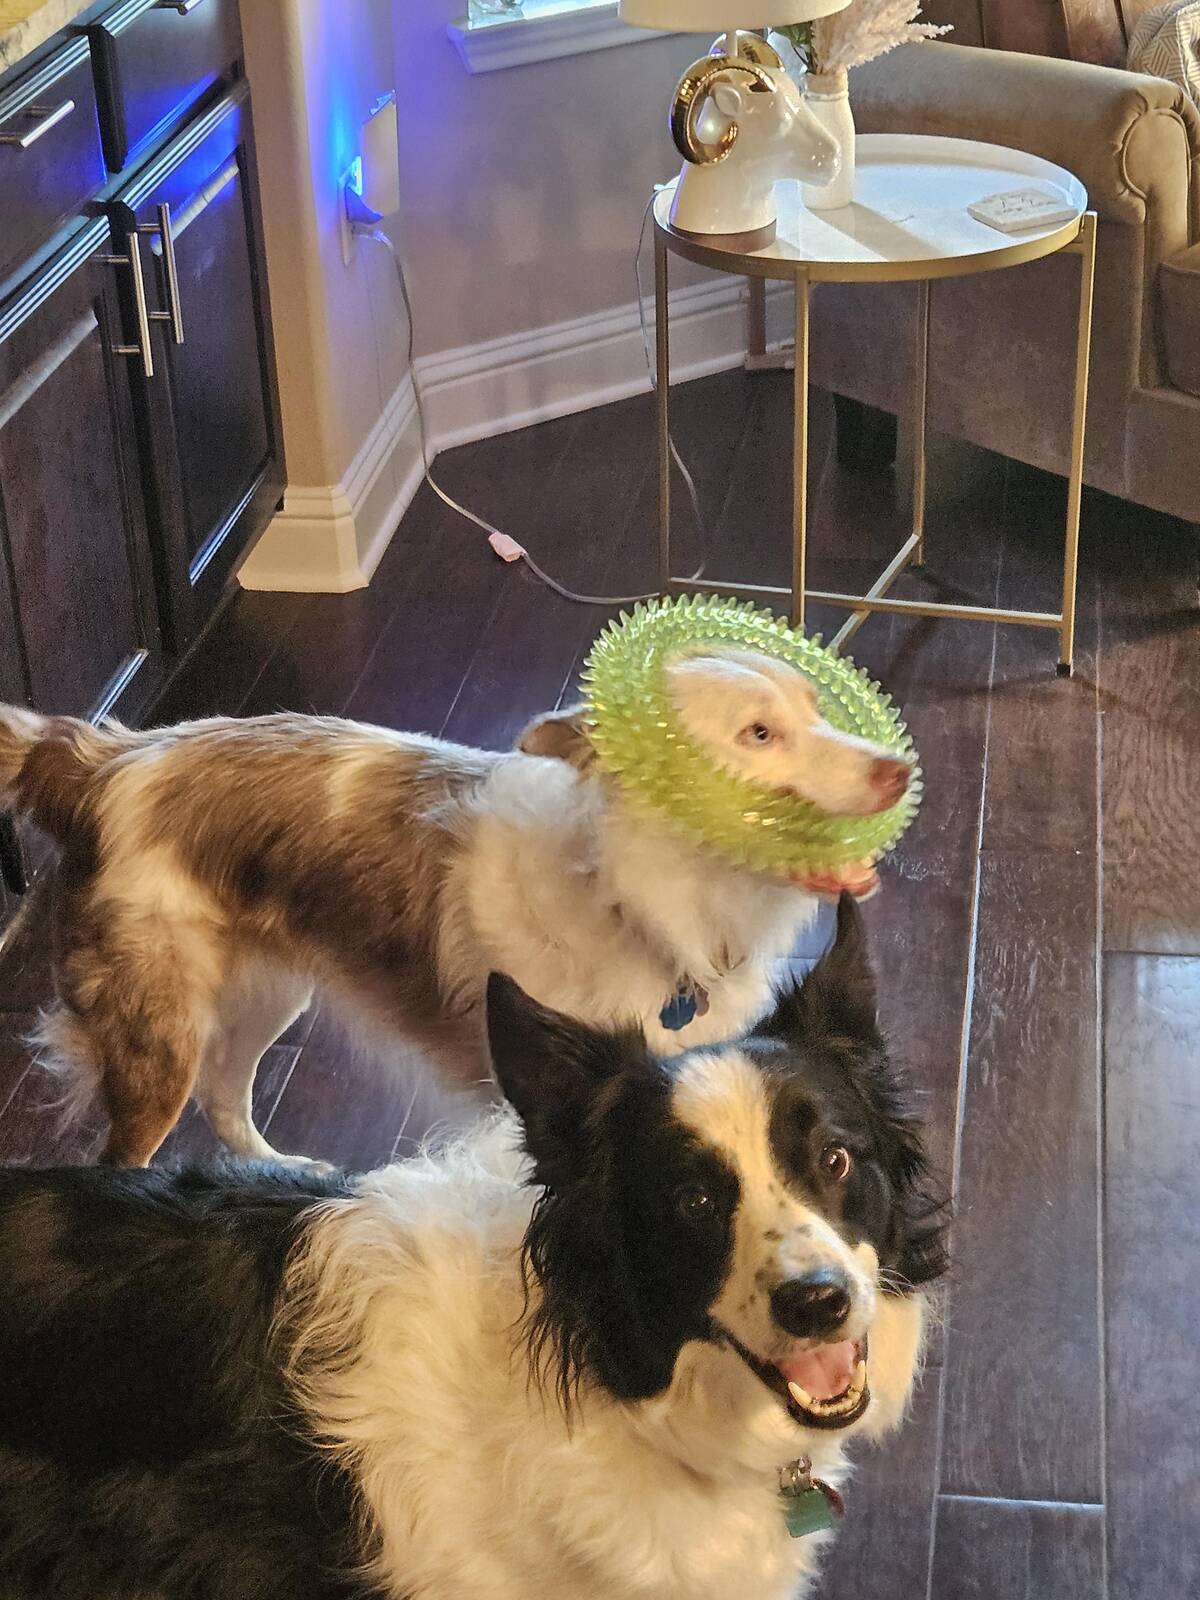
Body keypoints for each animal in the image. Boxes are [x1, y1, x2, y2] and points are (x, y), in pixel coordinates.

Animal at [0, 647, 911, 1166]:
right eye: (759, 734)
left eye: (816, 711)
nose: (899, 770)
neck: (635, 897)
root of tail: (104, 758)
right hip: (160, 1036)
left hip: (268, 992)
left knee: (226, 1100)